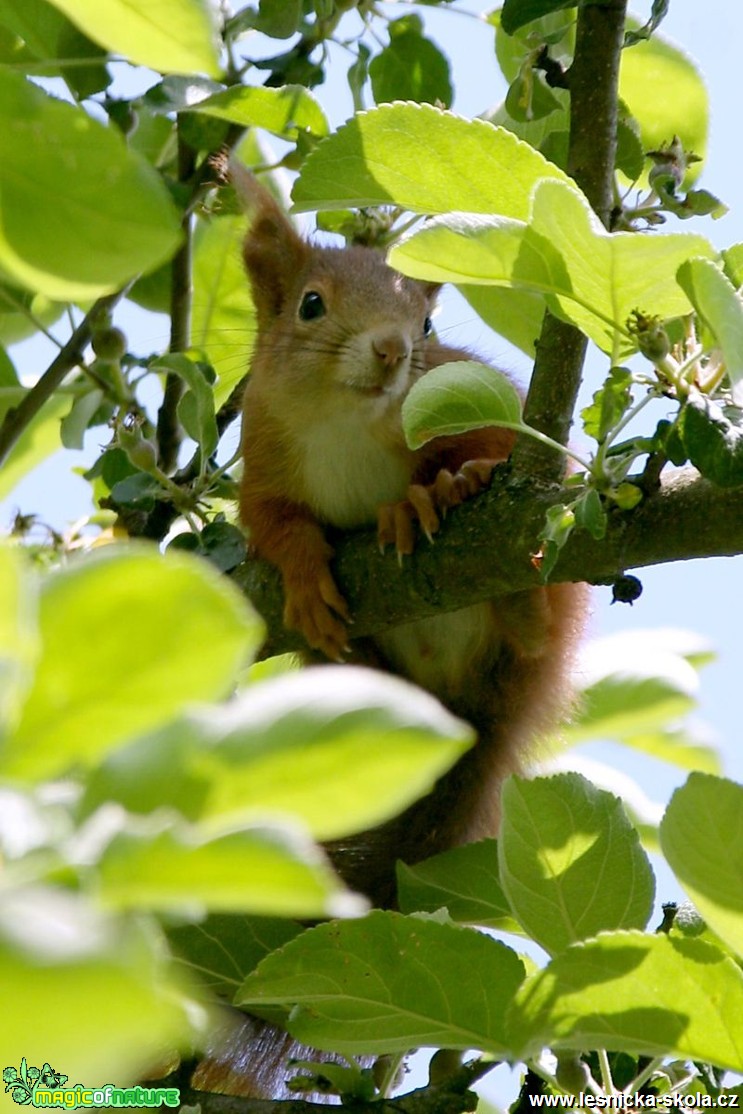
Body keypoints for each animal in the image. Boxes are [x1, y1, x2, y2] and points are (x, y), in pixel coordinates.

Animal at [191, 164, 588, 1096]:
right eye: (309, 304)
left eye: (429, 325)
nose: (389, 351)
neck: (344, 424)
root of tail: (471, 714)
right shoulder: (264, 471)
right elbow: (281, 532)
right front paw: (306, 580)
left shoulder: (461, 401)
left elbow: (479, 447)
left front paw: (428, 493)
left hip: (544, 595)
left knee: (534, 629)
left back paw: (511, 598)